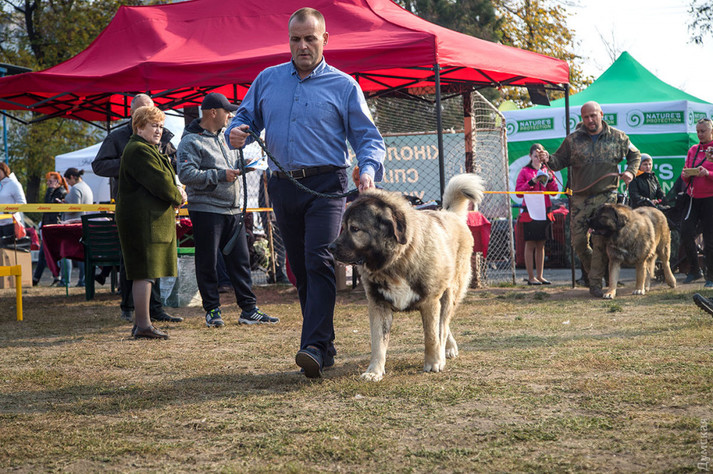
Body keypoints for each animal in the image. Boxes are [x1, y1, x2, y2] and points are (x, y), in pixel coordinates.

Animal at [328, 174, 485, 381]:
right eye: (343, 227)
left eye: (354, 229)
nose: (330, 248)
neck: (396, 260)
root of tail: (449, 214)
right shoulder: (378, 305)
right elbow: (378, 343)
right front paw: (374, 371)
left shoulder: (430, 302)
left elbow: (432, 336)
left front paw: (433, 362)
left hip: (450, 292)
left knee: (444, 325)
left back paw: (444, 352)